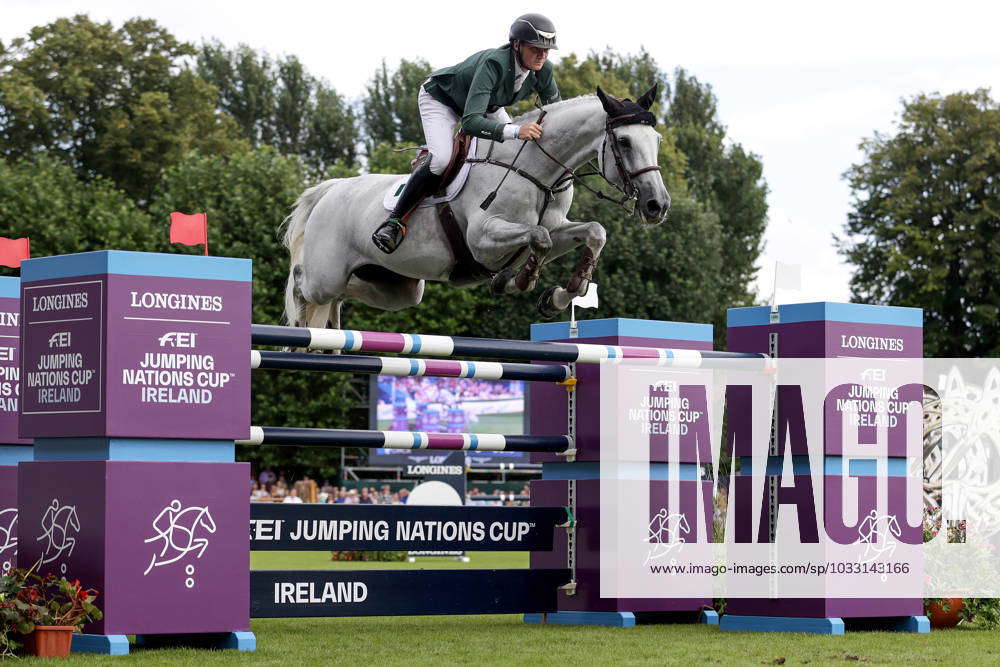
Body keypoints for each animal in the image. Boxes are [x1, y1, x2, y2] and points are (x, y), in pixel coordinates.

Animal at [286, 85, 668, 330]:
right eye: (624, 141)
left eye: (657, 140)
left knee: (346, 294)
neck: (537, 170)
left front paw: (559, 296)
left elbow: (593, 232)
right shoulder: (483, 240)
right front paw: (519, 280)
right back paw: (299, 322)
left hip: (396, 287)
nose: (657, 205)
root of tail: (331, 189)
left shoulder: (560, 226)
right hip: (326, 276)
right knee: (303, 286)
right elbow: (539, 237)